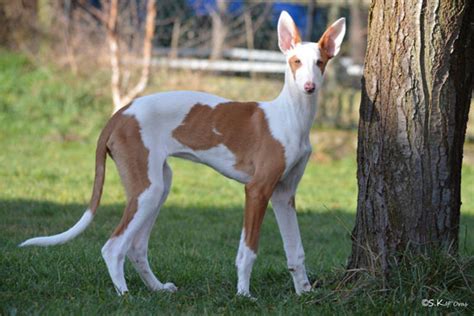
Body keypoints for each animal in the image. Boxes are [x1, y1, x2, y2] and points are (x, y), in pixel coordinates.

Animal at [20, 11, 344, 298]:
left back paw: (157, 288)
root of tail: (120, 113)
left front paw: (304, 292)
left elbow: (296, 250)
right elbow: (248, 250)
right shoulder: (257, 190)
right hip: (147, 190)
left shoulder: (284, 195)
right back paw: (124, 294)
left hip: (159, 186)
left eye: (320, 62)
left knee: (136, 247)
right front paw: (243, 294)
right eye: (295, 61)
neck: (290, 116)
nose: (309, 87)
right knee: (113, 247)